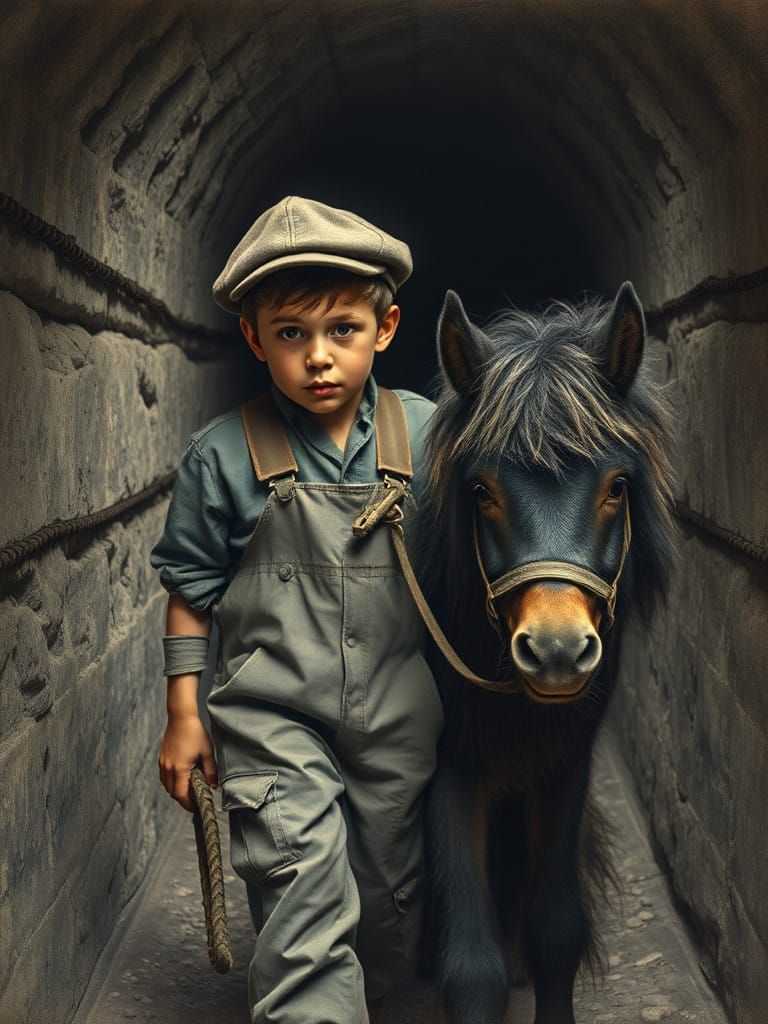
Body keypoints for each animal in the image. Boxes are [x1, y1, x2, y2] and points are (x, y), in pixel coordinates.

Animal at [418, 282, 677, 1024]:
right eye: (482, 491)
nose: (557, 651)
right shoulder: (450, 769)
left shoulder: (566, 764)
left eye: (616, 487)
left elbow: (556, 930)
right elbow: (470, 967)